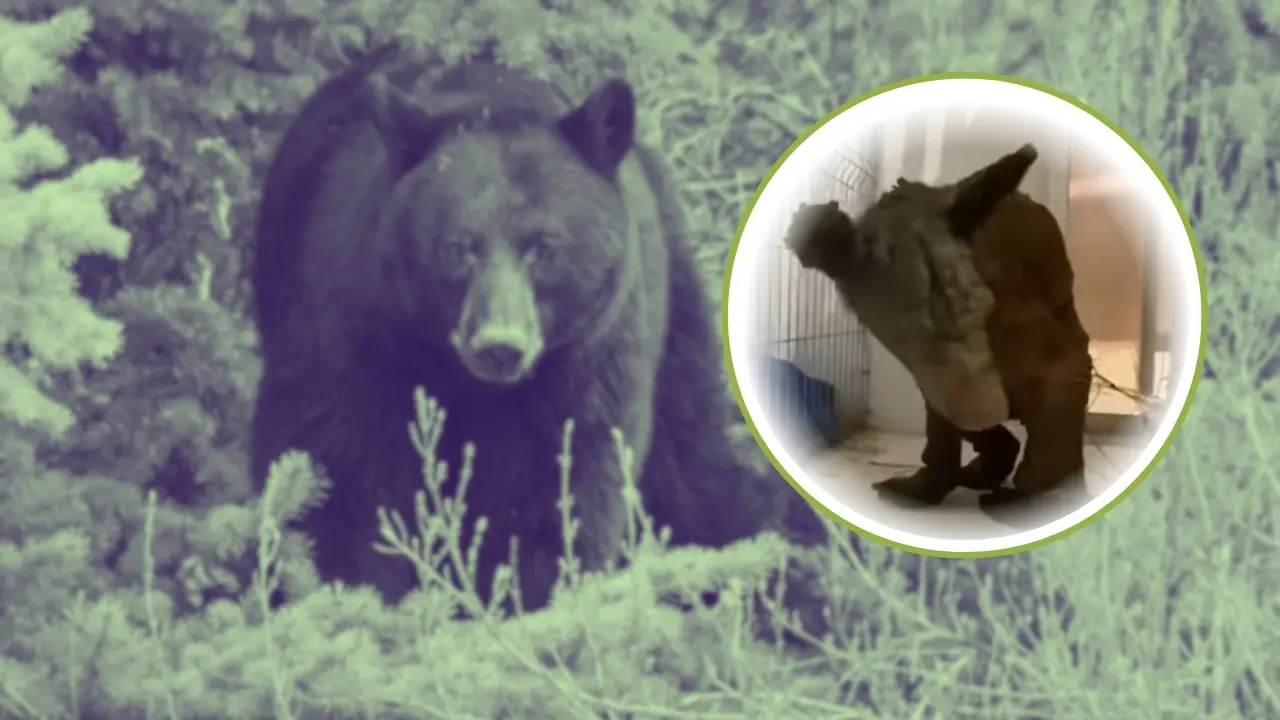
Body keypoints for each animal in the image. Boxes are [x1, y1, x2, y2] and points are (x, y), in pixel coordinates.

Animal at [248, 47, 827, 611]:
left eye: (545, 249)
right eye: (457, 247)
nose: (500, 346)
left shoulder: (586, 364)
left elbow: (556, 498)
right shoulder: (355, 328)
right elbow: (338, 478)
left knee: (689, 459)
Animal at [783, 144, 1093, 516]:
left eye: (986, 307)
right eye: (910, 339)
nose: (992, 409)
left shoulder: (1054, 361)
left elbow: (1054, 420)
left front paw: (1041, 499)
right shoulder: (936, 380)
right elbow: (944, 425)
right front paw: (930, 485)